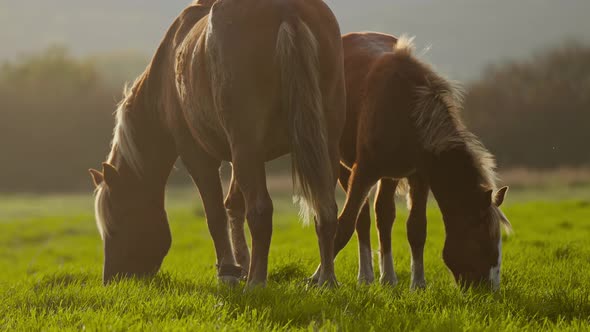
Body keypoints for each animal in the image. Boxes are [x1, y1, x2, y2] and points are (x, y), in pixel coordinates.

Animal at [88, 0, 346, 288]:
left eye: (119, 219)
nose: (112, 279)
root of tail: (284, 9)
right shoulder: (240, 156)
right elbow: (233, 204)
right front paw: (240, 265)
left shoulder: (199, 155)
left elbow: (215, 213)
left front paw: (228, 272)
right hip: (323, 143)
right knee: (325, 208)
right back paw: (326, 279)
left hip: (247, 146)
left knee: (261, 210)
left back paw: (256, 282)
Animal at [231, 32, 512, 290]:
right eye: (483, 243)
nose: (489, 290)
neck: (405, 108)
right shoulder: (364, 170)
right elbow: (343, 226)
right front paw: (319, 278)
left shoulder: (418, 176)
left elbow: (416, 229)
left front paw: (418, 284)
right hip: (344, 168)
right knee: (361, 219)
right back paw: (365, 276)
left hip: (389, 174)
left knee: (382, 215)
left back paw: (387, 277)